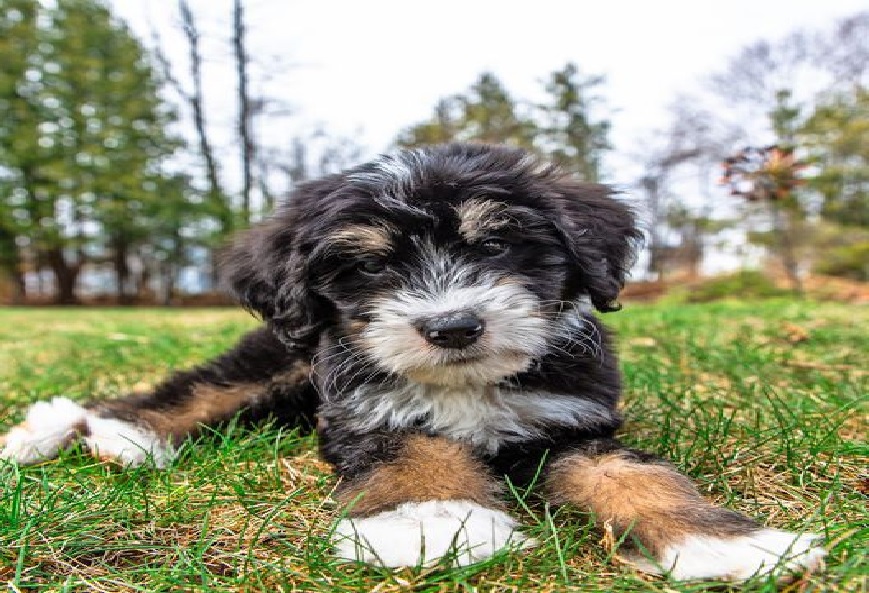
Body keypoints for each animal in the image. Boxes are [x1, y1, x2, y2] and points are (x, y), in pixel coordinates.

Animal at [1, 143, 828, 580]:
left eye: (495, 245)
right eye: (369, 266)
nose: (451, 325)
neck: (465, 384)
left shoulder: (570, 421)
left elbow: (635, 473)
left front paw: (723, 541)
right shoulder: (368, 413)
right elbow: (416, 451)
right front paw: (433, 518)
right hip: (283, 352)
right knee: (197, 389)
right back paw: (100, 432)